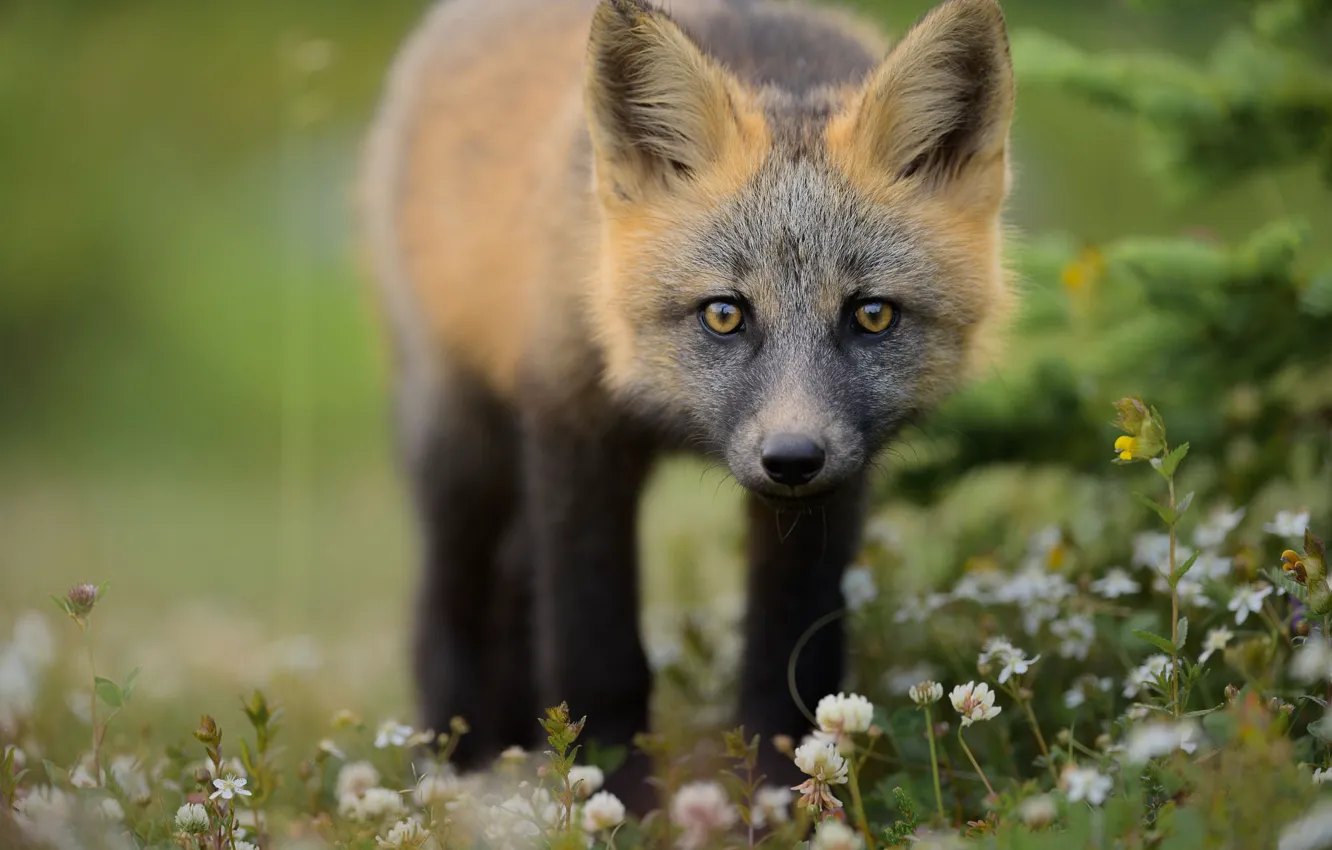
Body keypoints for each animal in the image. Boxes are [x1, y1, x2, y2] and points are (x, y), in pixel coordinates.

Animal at [361, 0, 1015, 803]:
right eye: (725, 314)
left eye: (872, 315)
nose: (791, 459)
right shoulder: (573, 430)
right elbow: (597, 655)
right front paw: (612, 798)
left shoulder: (833, 488)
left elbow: (792, 661)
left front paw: (786, 799)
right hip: (464, 446)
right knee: (446, 605)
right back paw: (454, 761)